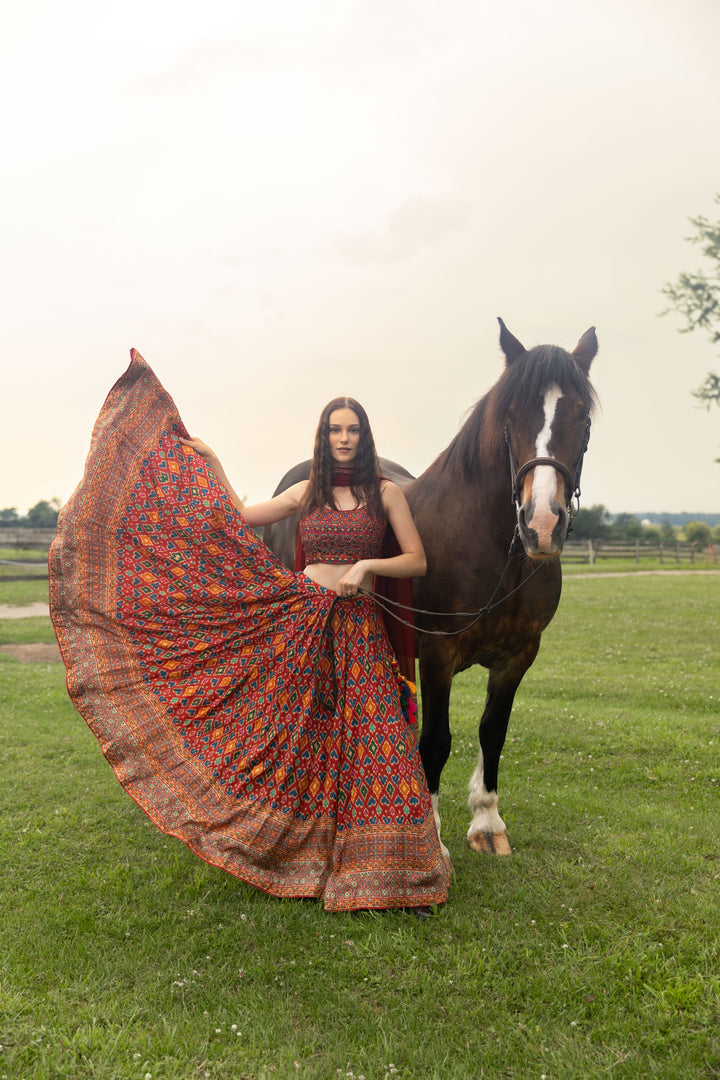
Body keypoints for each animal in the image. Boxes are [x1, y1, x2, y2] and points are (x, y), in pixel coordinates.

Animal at [263, 319, 595, 859]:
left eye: (582, 416)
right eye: (510, 416)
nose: (542, 524)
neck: (494, 551)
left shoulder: (519, 654)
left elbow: (492, 732)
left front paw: (487, 822)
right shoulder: (438, 653)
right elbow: (436, 740)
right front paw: (431, 842)